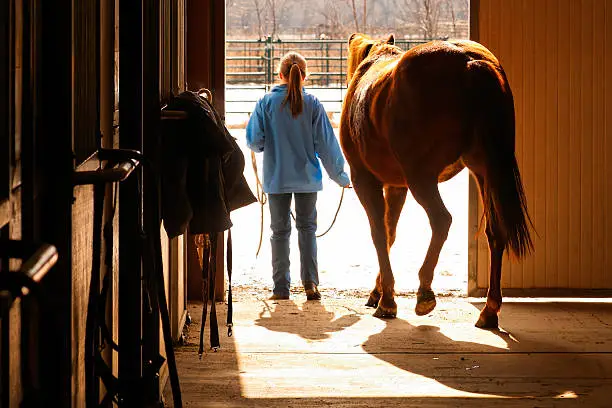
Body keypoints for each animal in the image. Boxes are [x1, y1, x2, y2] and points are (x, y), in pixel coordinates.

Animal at [342, 34, 532, 328]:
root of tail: (469, 62)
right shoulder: (397, 187)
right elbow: (390, 233)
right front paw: (379, 292)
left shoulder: (365, 180)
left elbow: (379, 234)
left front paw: (387, 301)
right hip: (485, 172)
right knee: (496, 231)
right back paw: (489, 311)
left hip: (422, 178)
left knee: (442, 220)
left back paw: (424, 293)